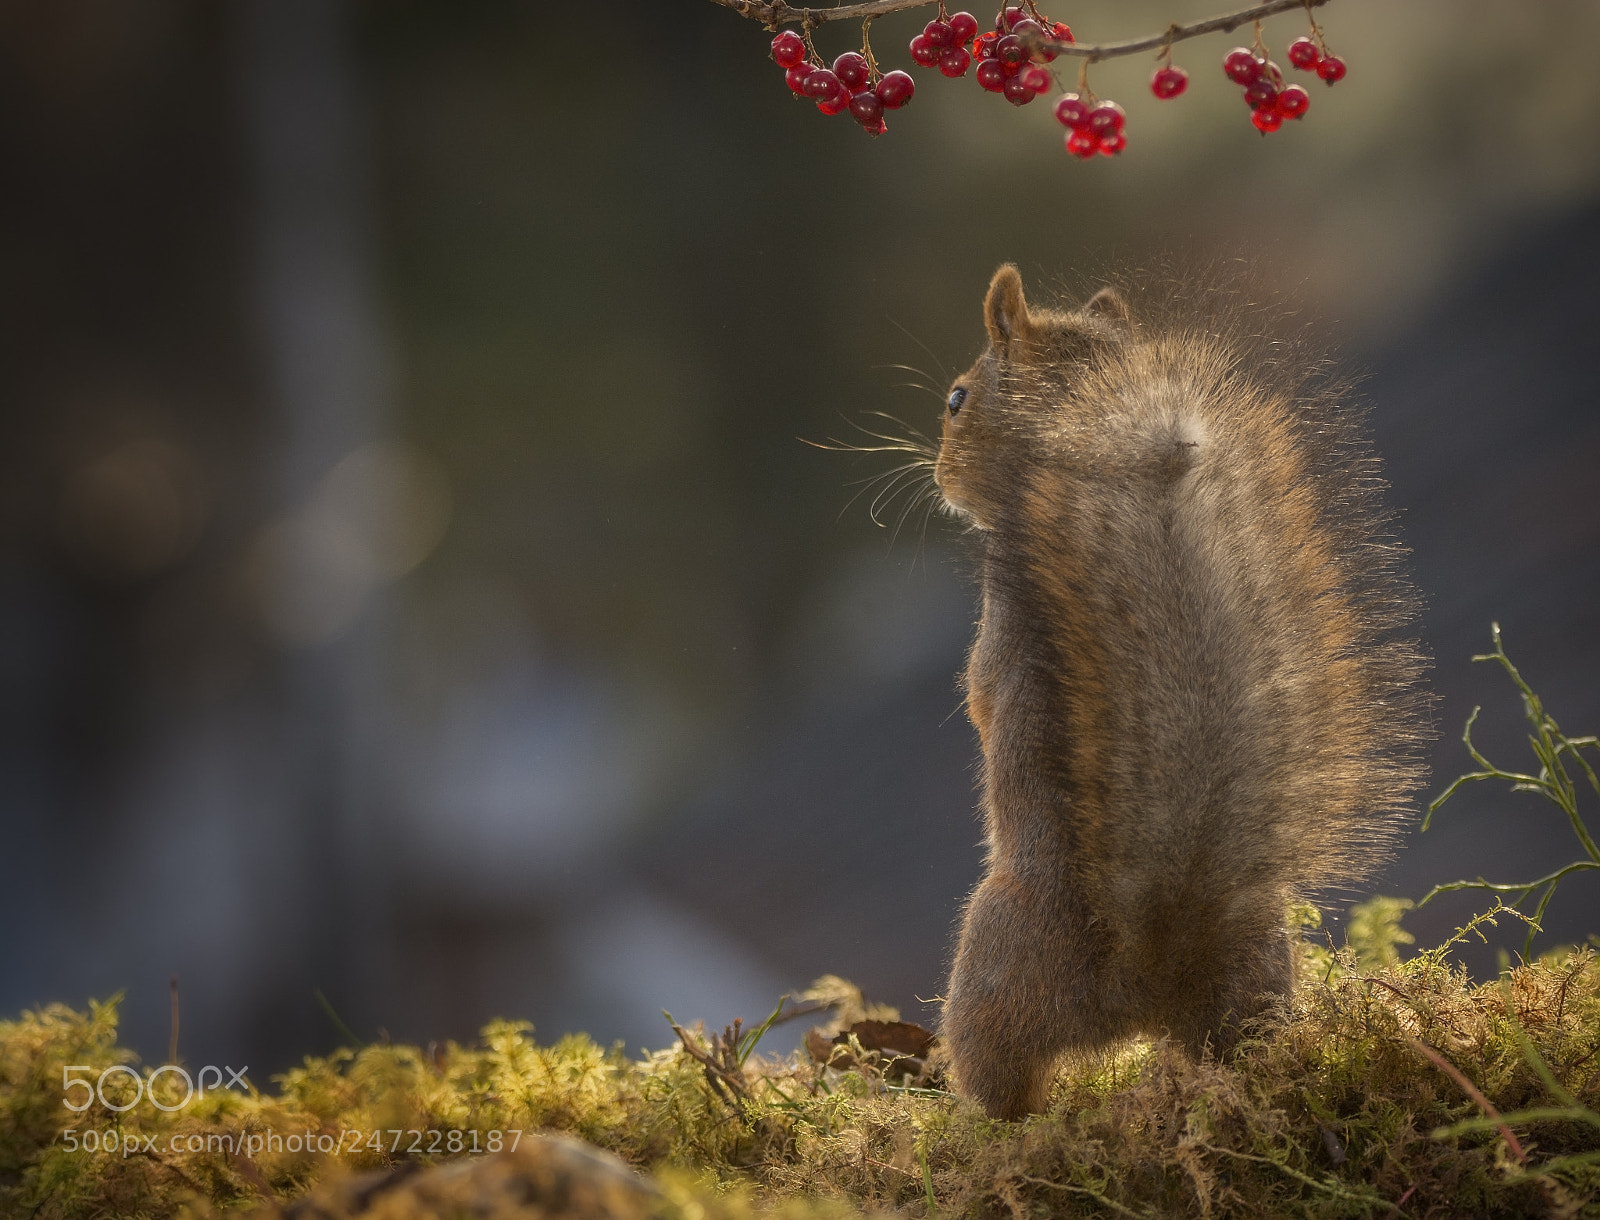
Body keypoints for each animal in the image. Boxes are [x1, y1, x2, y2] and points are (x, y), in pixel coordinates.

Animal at [933, 265, 1430, 1120]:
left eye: (958, 398)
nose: (938, 476)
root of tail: (1148, 965)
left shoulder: (999, 629)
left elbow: (980, 697)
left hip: (989, 968)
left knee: (1003, 1080)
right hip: (1259, 968)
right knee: (1245, 1046)